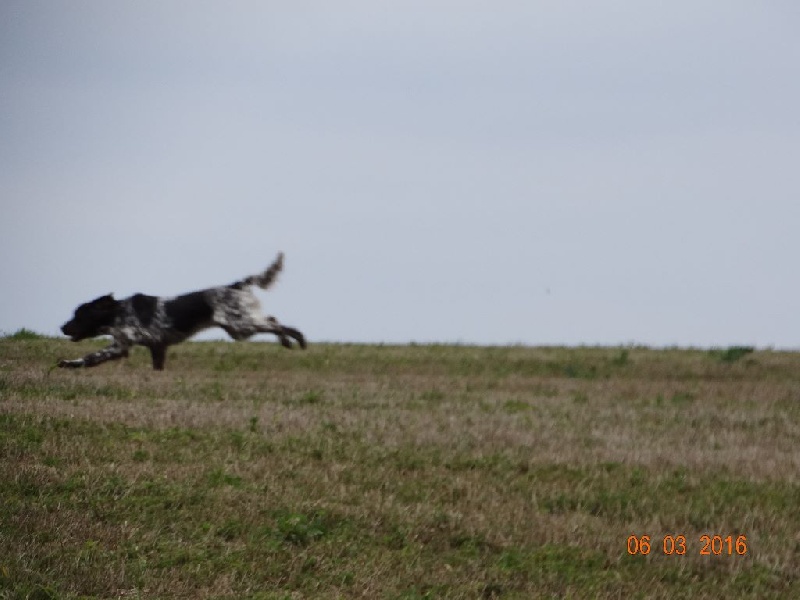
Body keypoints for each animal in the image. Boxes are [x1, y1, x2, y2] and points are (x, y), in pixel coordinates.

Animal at [57, 251, 306, 368]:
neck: (119, 312)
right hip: (238, 328)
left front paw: (69, 363)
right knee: (273, 321)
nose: (62, 327)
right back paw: (289, 341)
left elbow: (90, 357)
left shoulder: (121, 346)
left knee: (275, 322)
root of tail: (238, 285)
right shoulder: (157, 348)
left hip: (240, 326)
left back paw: (296, 339)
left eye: (78, 315)